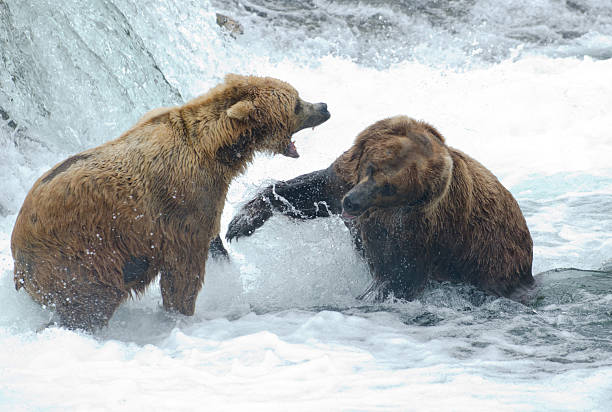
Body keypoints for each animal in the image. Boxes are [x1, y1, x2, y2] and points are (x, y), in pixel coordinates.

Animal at [10, 74, 330, 332]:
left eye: (298, 95)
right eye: (297, 104)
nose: (324, 106)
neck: (216, 150)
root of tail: (18, 252)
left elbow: (211, 241)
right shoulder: (182, 200)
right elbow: (184, 269)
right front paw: (182, 312)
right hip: (80, 253)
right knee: (89, 303)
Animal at [227, 115, 532, 300]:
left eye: (390, 188)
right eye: (372, 168)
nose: (353, 202)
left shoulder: (415, 228)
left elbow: (398, 274)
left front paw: (368, 295)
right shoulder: (343, 179)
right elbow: (306, 194)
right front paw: (242, 221)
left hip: (488, 256)